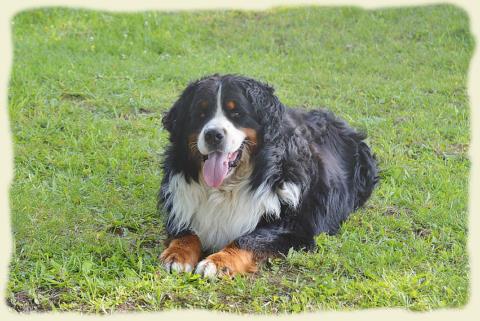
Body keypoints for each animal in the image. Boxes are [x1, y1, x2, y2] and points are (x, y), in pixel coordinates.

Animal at [158, 74, 378, 276]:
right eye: (200, 113)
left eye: (236, 113)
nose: (213, 135)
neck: (227, 187)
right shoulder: (180, 207)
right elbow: (187, 233)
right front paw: (176, 255)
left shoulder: (295, 228)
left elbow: (248, 239)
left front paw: (218, 262)